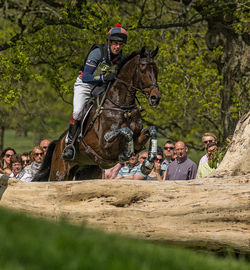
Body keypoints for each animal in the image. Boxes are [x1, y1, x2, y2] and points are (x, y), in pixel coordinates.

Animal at [34, 46, 161, 181]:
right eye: (142, 70)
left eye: (156, 70)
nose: (155, 98)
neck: (122, 107)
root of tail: (58, 142)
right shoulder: (105, 147)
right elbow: (126, 131)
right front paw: (126, 153)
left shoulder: (137, 141)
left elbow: (152, 130)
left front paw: (148, 164)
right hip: (59, 174)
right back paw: (68, 149)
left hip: (88, 171)